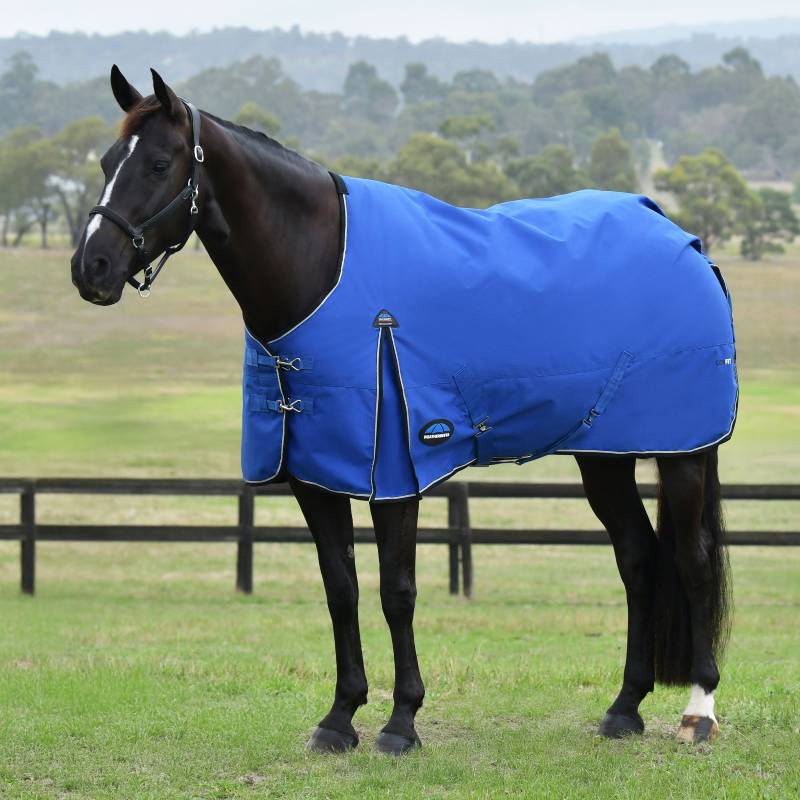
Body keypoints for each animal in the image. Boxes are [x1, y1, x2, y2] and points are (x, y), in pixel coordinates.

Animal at [70, 66, 733, 754]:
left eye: (158, 162)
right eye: (107, 161)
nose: (90, 268)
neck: (321, 269)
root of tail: (685, 240)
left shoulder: (393, 472)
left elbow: (397, 591)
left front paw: (401, 722)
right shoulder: (315, 474)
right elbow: (341, 589)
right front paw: (339, 717)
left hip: (683, 452)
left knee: (692, 560)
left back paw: (699, 711)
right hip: (605, 454)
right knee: (637, 557)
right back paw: (624, 708)